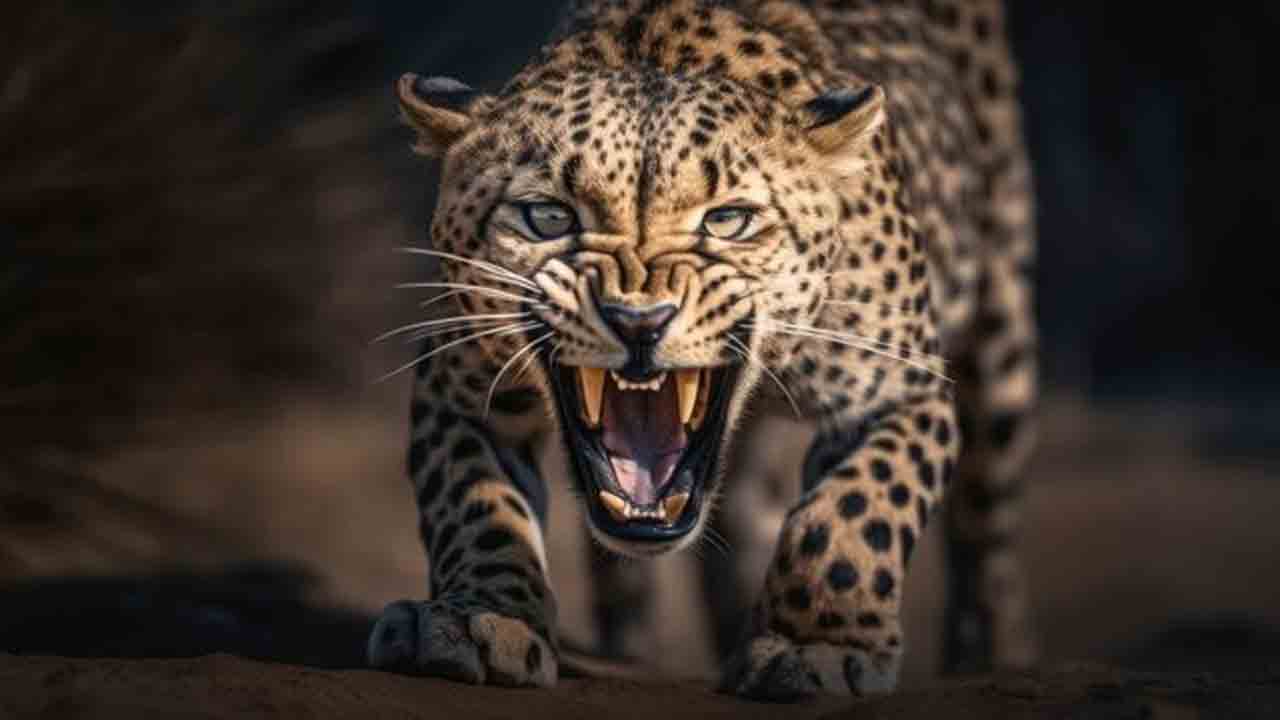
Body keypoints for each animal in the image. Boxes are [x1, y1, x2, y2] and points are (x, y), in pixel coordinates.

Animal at [367, 0, 1037, 701]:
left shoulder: (899, 391)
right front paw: (479, 618)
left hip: (1004, 312)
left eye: (728, 220)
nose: (638, 321)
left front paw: (820, 643)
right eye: (548, 217)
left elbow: (853, 509)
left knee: (989, 520)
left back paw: (993, 654)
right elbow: (476, 506)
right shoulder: (460, 385)